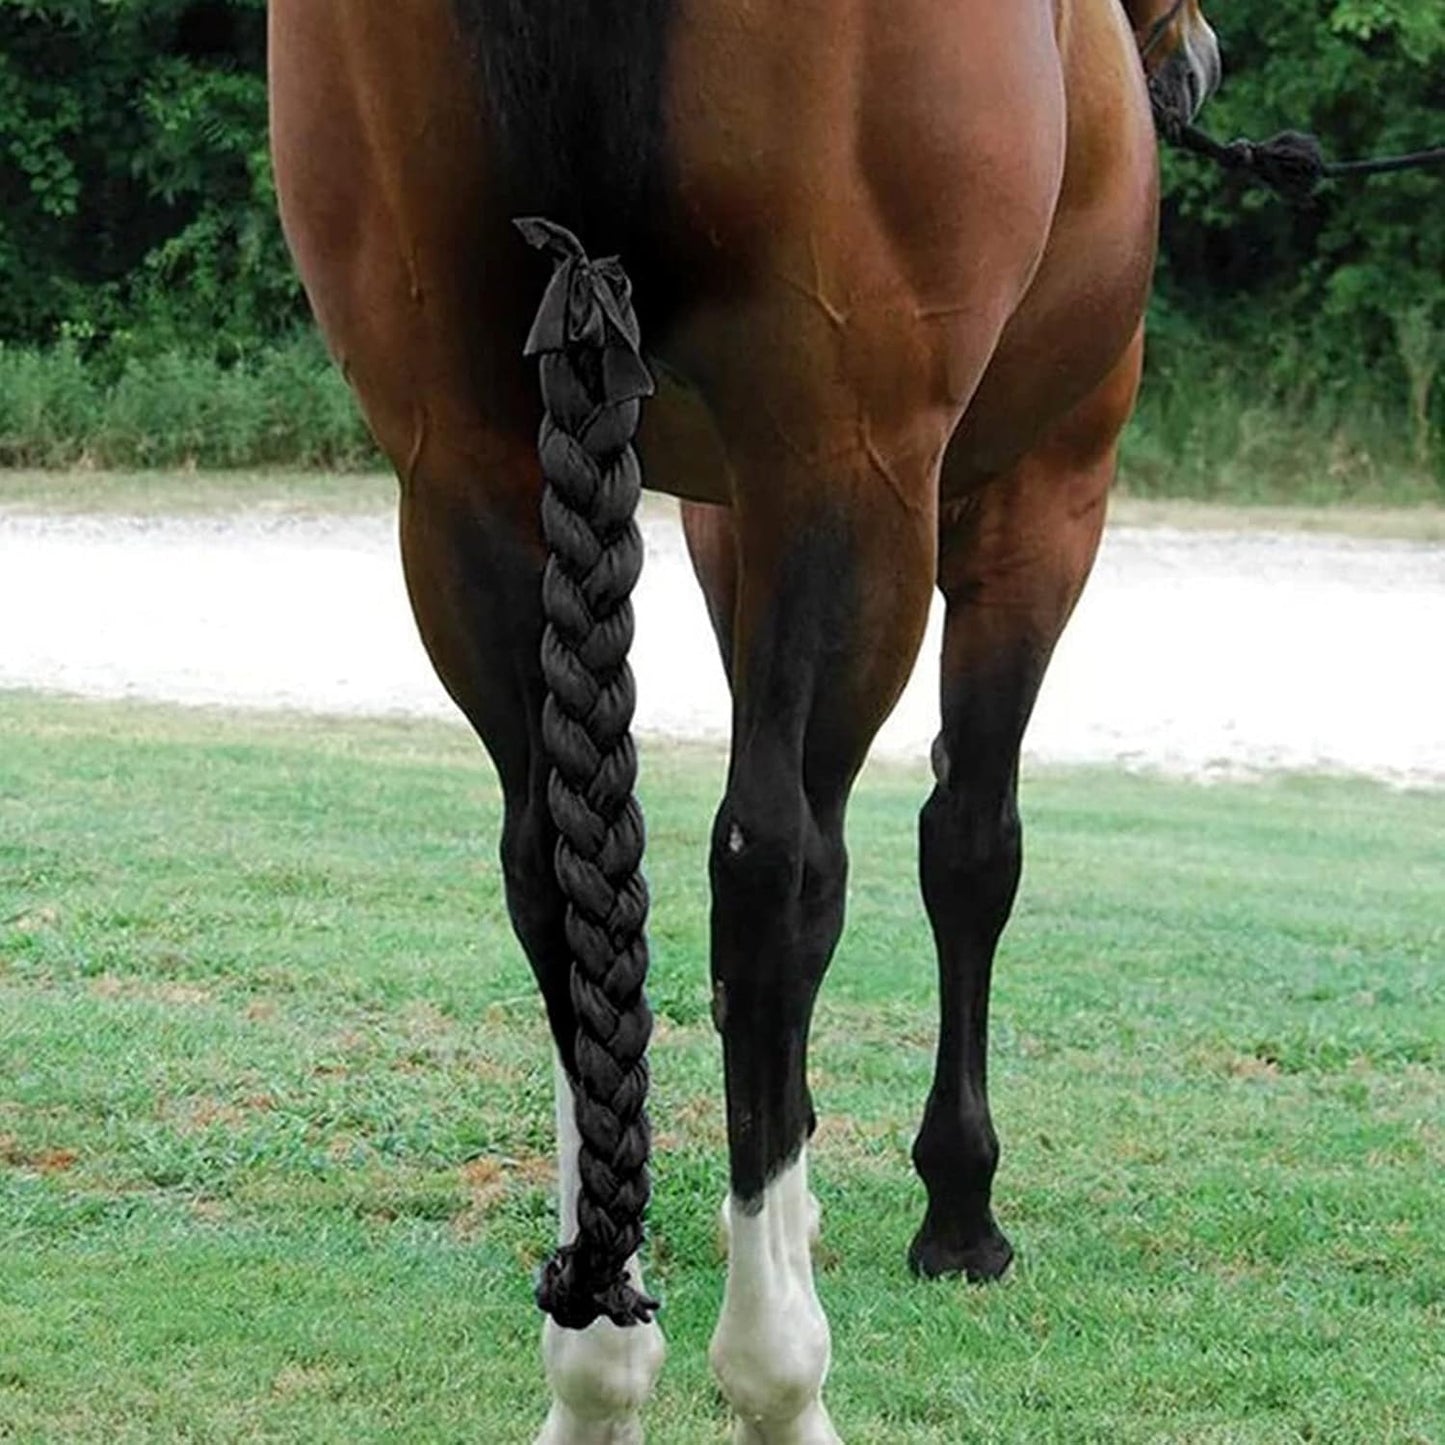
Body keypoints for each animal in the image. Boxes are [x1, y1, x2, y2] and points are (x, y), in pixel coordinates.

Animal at [268, 1, 1220, 1438]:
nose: (1193, 65)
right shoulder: (1041, 492)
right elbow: (969, 845)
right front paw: (957, 1208)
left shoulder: (715, 513)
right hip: (848, 459)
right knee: (777, 870)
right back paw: (779, 1368)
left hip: (462, 474)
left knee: (557, 870)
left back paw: (599, 1362)